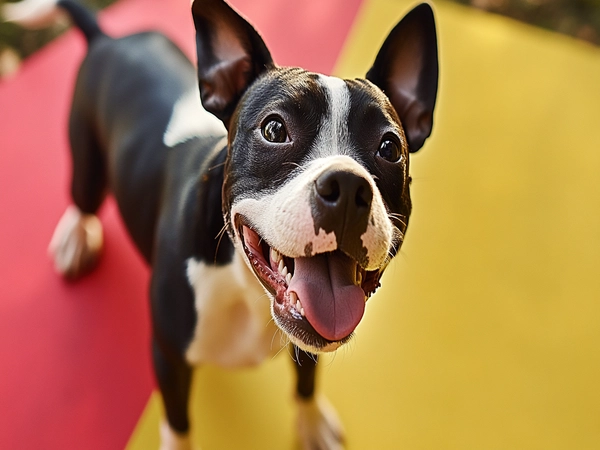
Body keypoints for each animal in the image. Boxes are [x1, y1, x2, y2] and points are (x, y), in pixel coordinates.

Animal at [2, 0, 438, 448]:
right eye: (274, 129)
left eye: (390, 148)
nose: (348, 185)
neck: (245, 284)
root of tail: (106, 38)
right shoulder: (168, 356)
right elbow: (178, 421)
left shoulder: (309, 340)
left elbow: (306, 378)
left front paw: (312, 423)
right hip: (87, 162)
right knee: (82, 198)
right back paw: (75, 236)